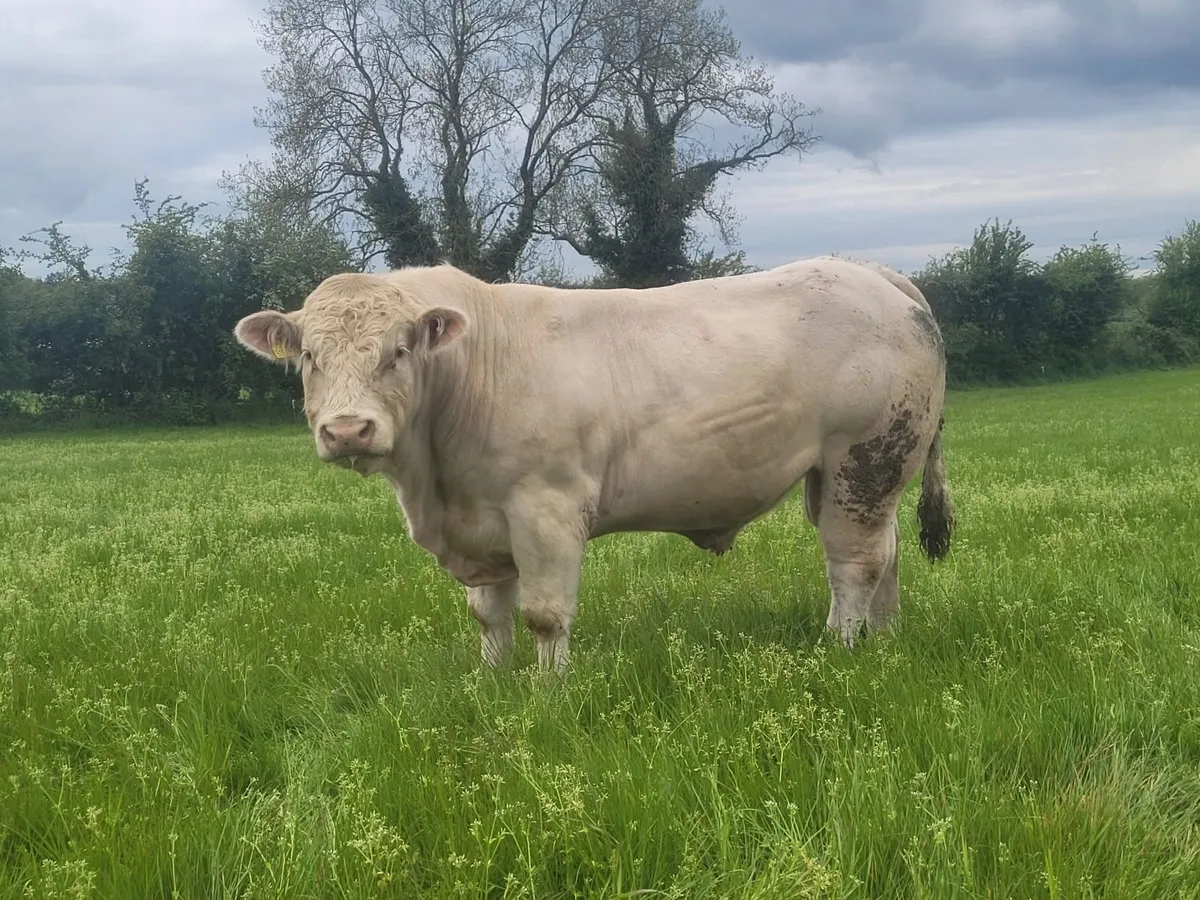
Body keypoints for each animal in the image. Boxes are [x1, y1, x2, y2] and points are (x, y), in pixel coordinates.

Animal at [233, 256, 955, 672]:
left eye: (400, 350)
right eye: (309, 358)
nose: (347, 429)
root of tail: (876, 274)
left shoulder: (546, 507)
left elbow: (545, 614)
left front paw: (549, 699)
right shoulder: (482, 522)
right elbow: (489, 615)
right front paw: (492, 684)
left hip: (862, 459)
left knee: (854, 562)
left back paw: (840, 649)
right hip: (857, 474)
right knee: (887, 553)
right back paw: (884, 640)